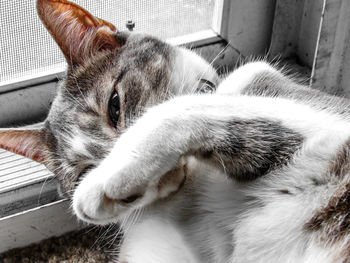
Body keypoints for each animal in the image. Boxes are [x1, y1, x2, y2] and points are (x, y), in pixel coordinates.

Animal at [0, 0, 350, 262]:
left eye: (115, 106)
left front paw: (102, 188)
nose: (162, 175)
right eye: (84, 170)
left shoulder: (324, 122)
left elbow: (181, 108)